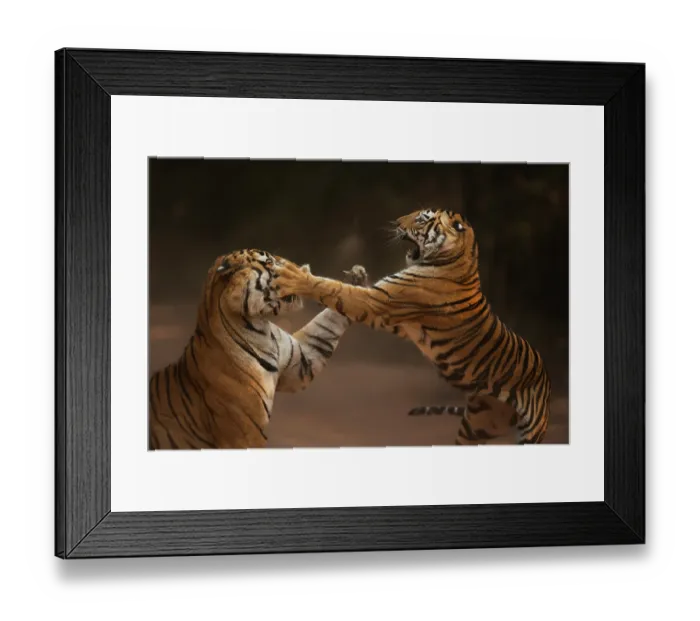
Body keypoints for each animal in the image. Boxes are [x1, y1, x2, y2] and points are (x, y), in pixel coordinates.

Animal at [148, 249, 369, 450]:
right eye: (269, 262)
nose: (300, 271)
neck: (260, 327)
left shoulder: (303, 360)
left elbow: (327, 324)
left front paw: (356, 279)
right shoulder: (243, 434)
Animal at [274, 209, 552, 445]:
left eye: (421, 219)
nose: (396, 221)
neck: (459, 259)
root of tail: (546, 377)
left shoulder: (380, 301)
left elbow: (332, 288)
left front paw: (294, 275)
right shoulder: (393, 317)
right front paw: (356, 275)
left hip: (529, 431)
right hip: (479, 424)